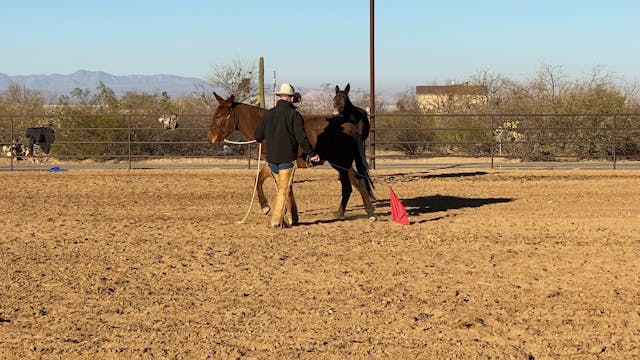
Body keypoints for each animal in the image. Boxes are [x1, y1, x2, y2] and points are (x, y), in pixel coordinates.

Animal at [208, 90, 376, 219]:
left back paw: (350, 213)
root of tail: (349, 125)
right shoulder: (272, 163)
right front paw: (273, 209)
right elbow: (261, 180)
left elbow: (274, 183)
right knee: (356, 182)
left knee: (352, 184)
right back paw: (360, 212)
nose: (211, 137)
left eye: (219, 116)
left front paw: (271, 209)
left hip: (341, 162)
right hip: (342, 163)